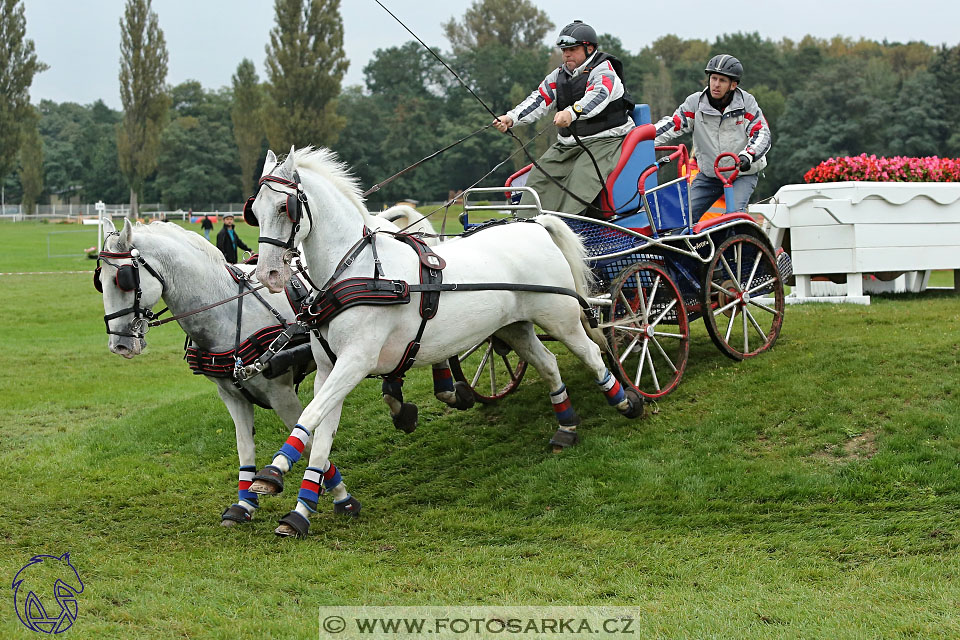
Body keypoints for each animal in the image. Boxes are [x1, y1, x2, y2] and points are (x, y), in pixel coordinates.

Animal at [246, 148, 644, 536]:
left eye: (284, 208)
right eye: (255, 211)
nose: (267, 274)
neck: (356, 272)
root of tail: (534, 225)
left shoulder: (355, 362)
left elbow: (310, 417)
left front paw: (273, 472)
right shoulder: (329, 370)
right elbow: (321, 436)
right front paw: (302, 511)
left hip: (560, 317)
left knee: (591, 353)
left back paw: (626, 402)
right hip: (513, 327)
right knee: (548, 363)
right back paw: (566, 426)